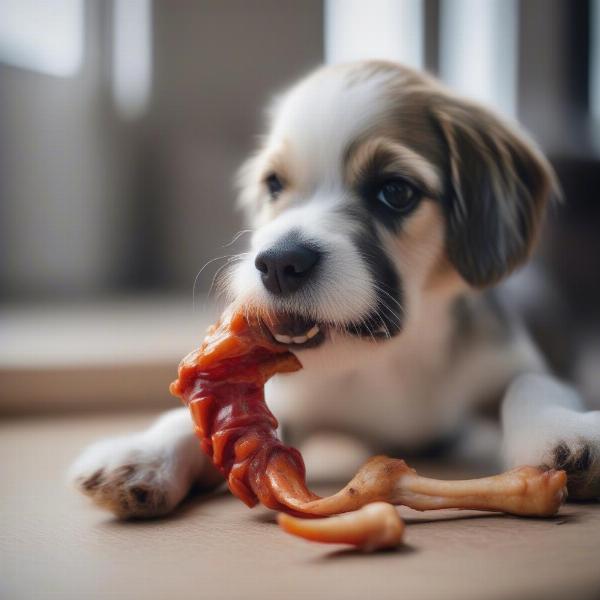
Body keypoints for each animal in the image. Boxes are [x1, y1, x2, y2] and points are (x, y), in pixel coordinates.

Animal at [71, 62, 600, 520]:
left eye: (396, 191)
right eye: (274, 184)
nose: (278, 264)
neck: (391, 357)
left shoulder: (510, 362)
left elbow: (533, 385)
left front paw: (564, 434)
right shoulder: (287, 401)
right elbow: (204, 420)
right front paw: (143, 453)